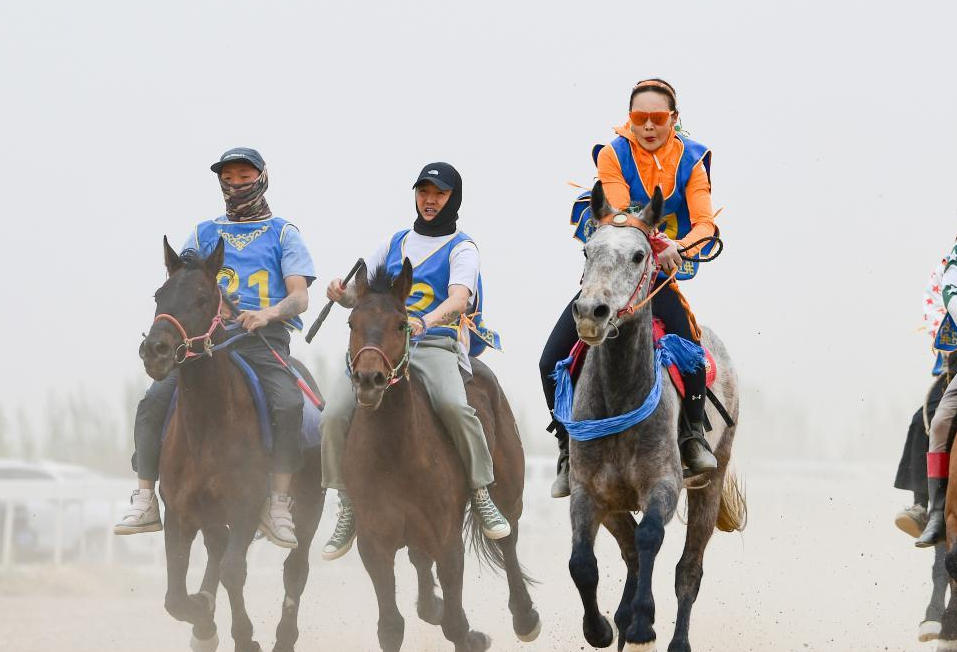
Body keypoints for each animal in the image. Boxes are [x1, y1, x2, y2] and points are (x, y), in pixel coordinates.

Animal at [139, 237, 326, 652]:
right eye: (159, 294)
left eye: (202, 297)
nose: (155, 350)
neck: (207, 428)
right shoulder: (180, 510)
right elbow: (175, 595)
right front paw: (203, 618)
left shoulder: (245, 506)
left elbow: (233, 571)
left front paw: (243, 637)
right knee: (217, 549)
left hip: (308, 509)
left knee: (295, 569)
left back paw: (283, 637)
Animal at [340, 259, 540, 651]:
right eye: (352, 322)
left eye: (401, 323)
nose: (368, 379)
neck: (394, 452)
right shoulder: (374, 543)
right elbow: (391, 627)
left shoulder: (447, 540)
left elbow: (455, 624)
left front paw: (473, 635)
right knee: (420, 561)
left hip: (509, 488)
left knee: (508, 538)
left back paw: (525, 617)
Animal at [565, 182, 746, 652]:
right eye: (588, 250)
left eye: (639, 255)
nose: (591, 313)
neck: (619, 400)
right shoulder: (589, 491)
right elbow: (582, 563)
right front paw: (600, 628)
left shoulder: (662, 483)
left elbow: (650, 538)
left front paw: (643, 621)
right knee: (629, 554)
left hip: (710, 482)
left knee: (688, 570)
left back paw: (673, 638)